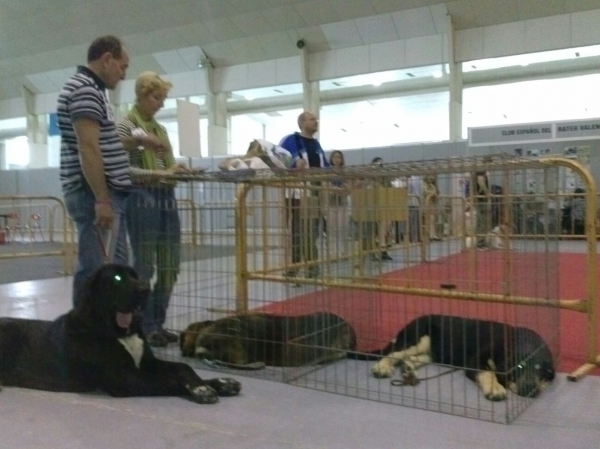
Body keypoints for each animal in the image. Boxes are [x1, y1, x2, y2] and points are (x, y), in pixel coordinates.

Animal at [0, 262, 239, 402]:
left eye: (134, 275)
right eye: (116, 278)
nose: (145, 289)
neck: (120, 332)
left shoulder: (147, 363)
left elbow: (182, 367)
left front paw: (219, 383)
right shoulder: (125, 380)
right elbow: (169, 382)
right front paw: (201, 390)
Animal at [370, 316, 556, 400]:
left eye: (540, 371)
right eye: (519, 367)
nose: (529, 390)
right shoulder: (475, 362)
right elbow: (488, 373)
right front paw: (495, 388)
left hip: (433, 352)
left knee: (412, 358)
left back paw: (408, 370)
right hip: (419, 339)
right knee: (391, 354)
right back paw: (382, 368)